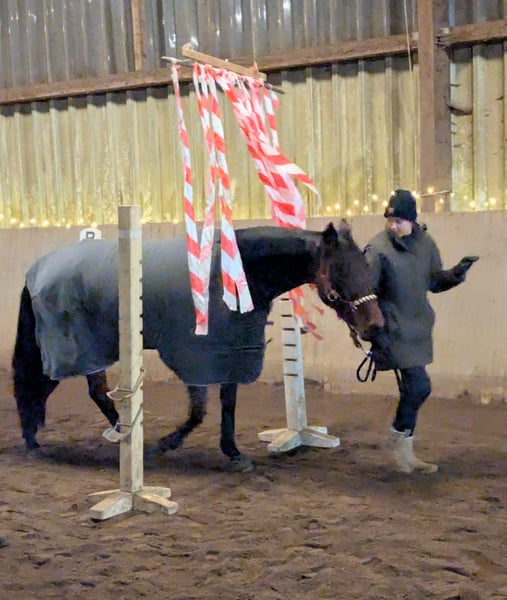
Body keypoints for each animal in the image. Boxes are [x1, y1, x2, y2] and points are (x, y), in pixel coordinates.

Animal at [12, 222, 384, 470]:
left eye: (365, 266)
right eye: (341, 270)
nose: (374, 325)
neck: (233, 275)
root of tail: (39, 268)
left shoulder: (231, 353)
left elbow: (227, 405)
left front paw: (233, 452)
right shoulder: (195, 354)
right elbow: (197, 410)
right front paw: (165, 444)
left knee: (86, 391)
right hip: (77, 348)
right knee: (50, 387)